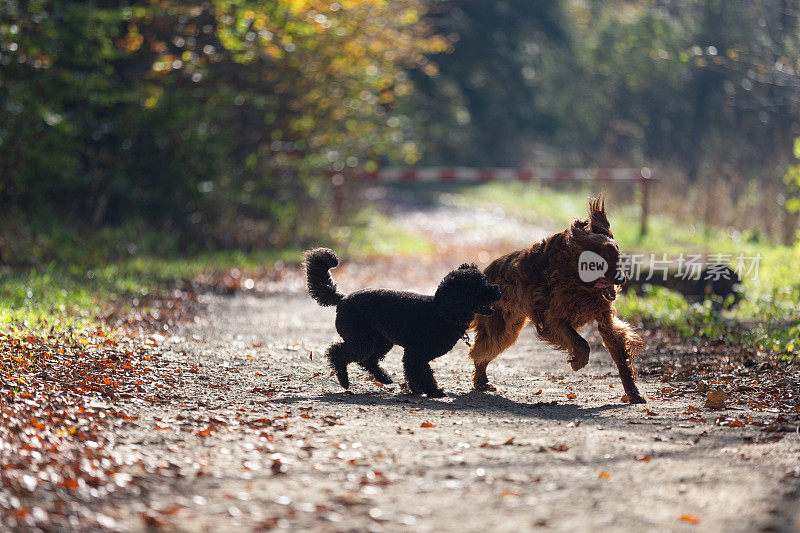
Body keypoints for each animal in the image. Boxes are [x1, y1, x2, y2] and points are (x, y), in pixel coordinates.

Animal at [468, 197, 644, 402]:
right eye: (601, 262)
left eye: (618, 257)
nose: (622, 279)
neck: (577, 279)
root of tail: (486, 273)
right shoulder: (553, 320)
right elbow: (582, 343)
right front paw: (578, 362)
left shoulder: (604, 318)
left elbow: (619, 353)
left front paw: (634, 393)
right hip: (501, 327)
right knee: (478, 352)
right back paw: (481, 381)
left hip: (510, 328)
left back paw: (482, 381)